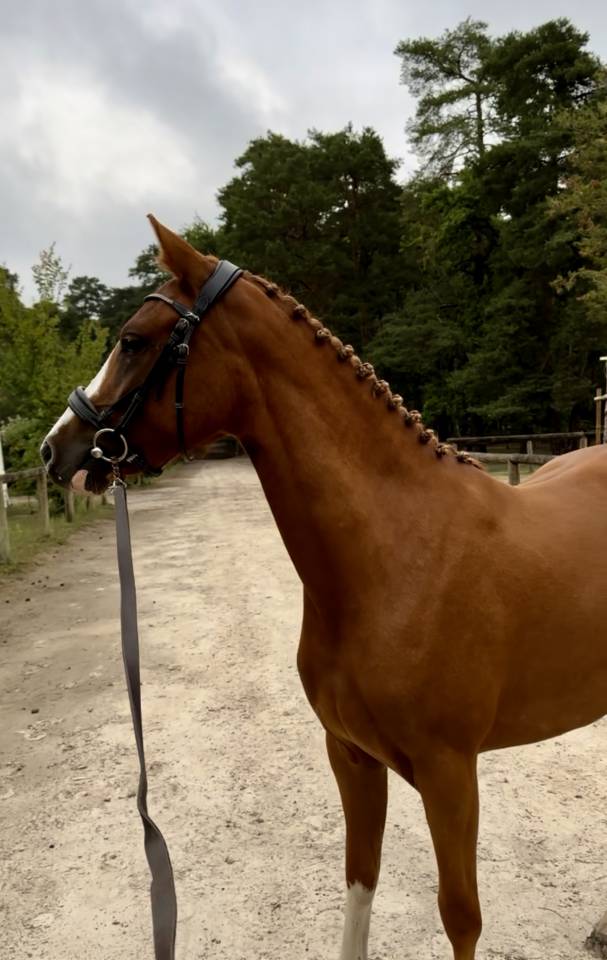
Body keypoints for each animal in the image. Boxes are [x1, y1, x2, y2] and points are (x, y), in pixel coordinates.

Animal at [42, 216, 607, 960]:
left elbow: (460, 915)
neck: (396, 558)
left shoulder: (450, 773)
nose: (57, 450)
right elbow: (358, 883)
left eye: (133, 341)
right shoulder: (351, 757)